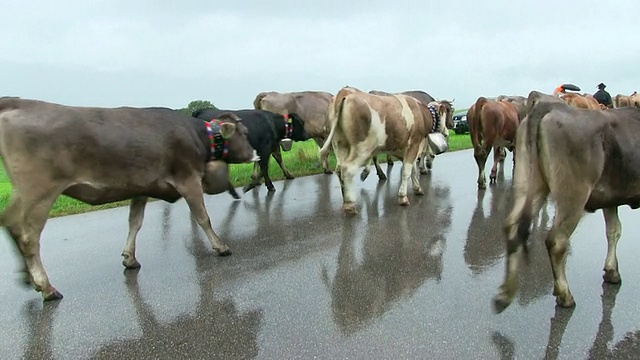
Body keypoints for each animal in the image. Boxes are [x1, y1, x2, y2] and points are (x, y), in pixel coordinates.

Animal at [1, 96, 260, 300]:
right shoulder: (188, 179)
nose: (255, 153)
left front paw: (129, 258)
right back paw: (46, 287)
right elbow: (202, 217)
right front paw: (221, 246)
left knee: (10, 223)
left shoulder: (141, 187)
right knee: (27, 236)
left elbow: (135, 222)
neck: (200, 136)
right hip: (39, 190)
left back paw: (27, 276)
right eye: (245, 133)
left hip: (24, 192)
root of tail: (19, 102)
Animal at [320, 86, 450, 214]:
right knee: (348, 169)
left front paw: (418, 189)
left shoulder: (403, 149)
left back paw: (345, 195)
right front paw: (403, 197)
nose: (447, 133)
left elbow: (412, 169)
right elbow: (406, 171)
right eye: (445, 115)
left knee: (339, 169)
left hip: (340, 144)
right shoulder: (414, 144)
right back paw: (349, 204)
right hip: (362, 148)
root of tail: (345, 92)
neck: (422, 115)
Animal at [492, 96, 640, 312]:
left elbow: (614, 230)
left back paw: (505, 293)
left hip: (528, 183)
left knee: (512, 226)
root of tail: (550, 107)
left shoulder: (610, 197)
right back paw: (564, 295)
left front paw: (612, 271)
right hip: (573, 193)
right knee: (556, 241)